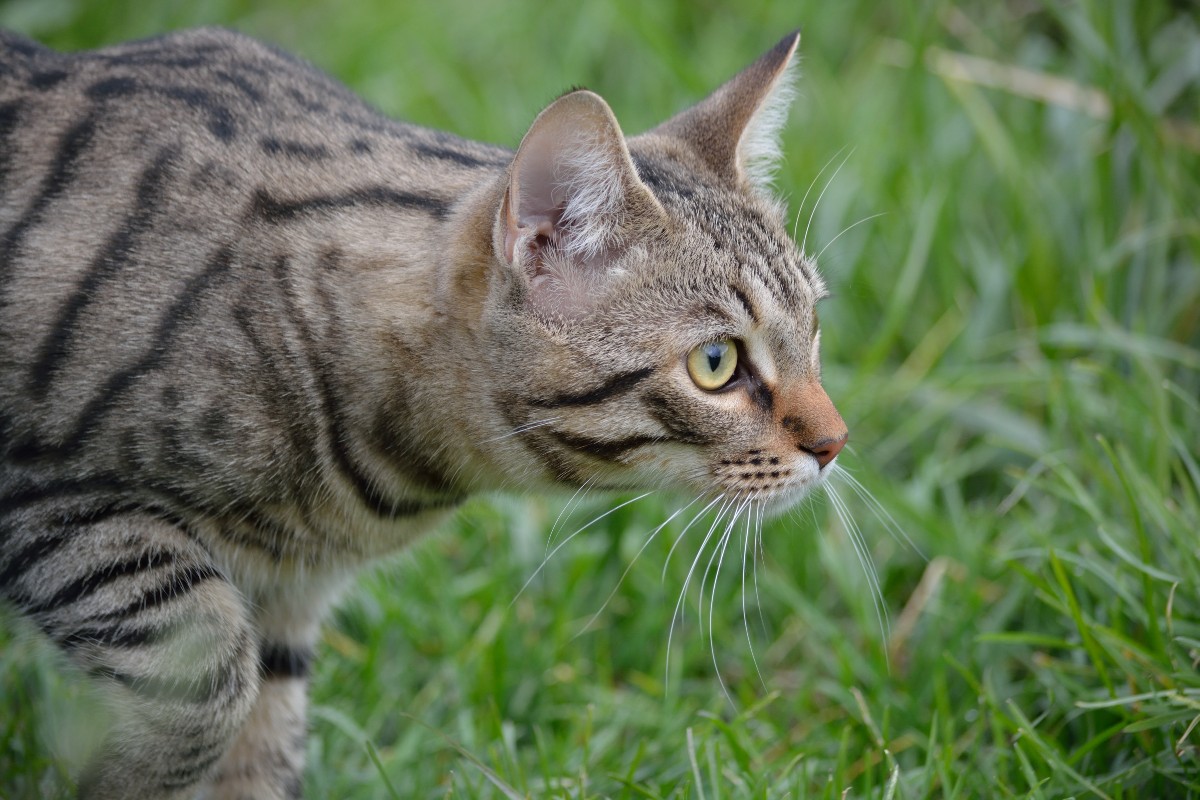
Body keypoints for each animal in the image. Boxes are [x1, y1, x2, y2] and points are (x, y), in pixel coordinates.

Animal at [0, 25, 844, 800]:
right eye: (716, 364)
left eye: (814, 324)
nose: (836, 443)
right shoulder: (53, 503)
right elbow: (205, 680)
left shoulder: (284, 600)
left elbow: (256, 749)